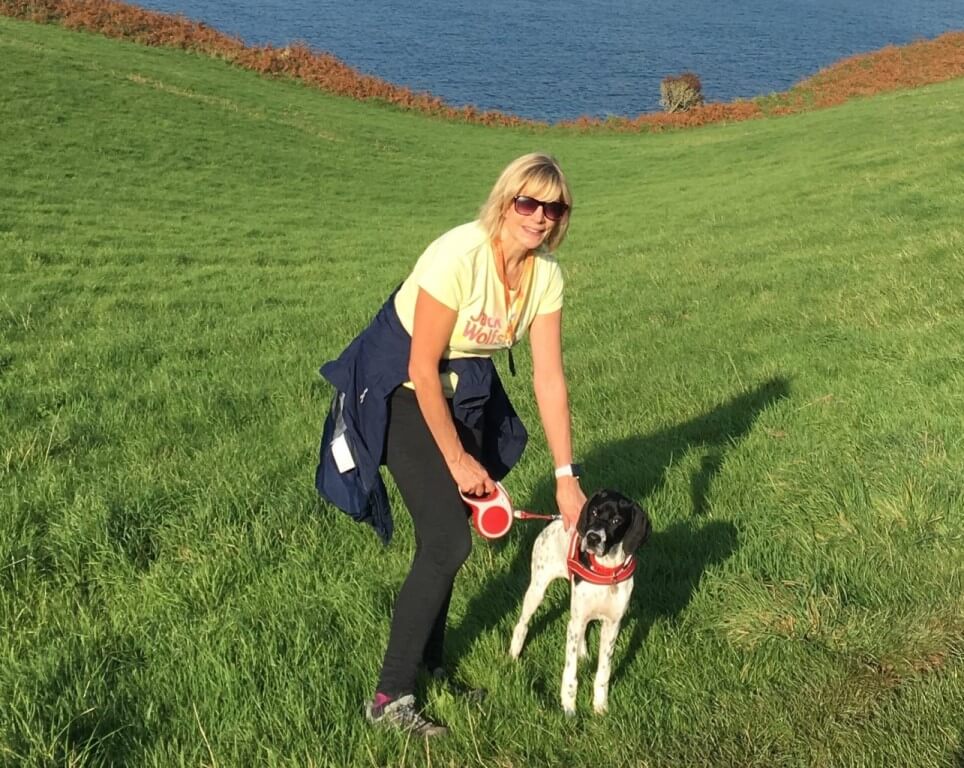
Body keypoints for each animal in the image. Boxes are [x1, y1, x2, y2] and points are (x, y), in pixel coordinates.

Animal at [508, 488, 652, 716]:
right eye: (594, 512)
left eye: (617, 520)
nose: (592, 537)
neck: (606, 570)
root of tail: (554, 519)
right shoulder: (576, 623)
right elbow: (570, 673)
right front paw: (568, 708)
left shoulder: (612, 626)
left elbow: (603, 673)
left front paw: (600, 707)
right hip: (538, 589)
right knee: (522, 623)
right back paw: (514, 654)